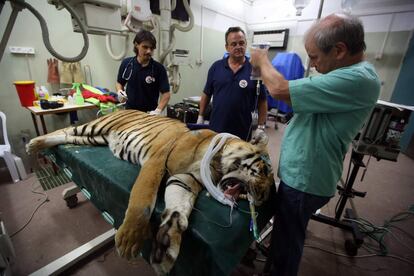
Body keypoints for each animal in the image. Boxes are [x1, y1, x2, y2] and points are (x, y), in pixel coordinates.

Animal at [27, 109, 276, 274]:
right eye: (264, 170)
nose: (264, 198)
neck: (215, 166)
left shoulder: (184, 179)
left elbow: (179, 209)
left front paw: (167, 240)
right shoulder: (157, 162)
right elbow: (143, 200)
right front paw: (129, 239)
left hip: (93, 138)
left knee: (67, 136)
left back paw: (39, 145)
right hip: (95, 127)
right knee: (66, 128)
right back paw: (34, 144)